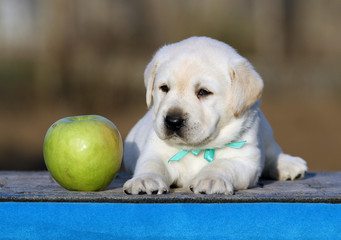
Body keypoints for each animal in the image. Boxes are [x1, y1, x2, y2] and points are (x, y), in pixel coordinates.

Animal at [121, 36, 306, 195]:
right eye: (164, 88)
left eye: (203, 92)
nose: (172, 121)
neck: (197, 148)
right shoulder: (156, 150)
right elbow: (152, 165)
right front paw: (144, 180)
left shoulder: (244, 159)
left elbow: (222, 164)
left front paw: (211, 179)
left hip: (266, 131)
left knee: (272, 152)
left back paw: (290, 164)